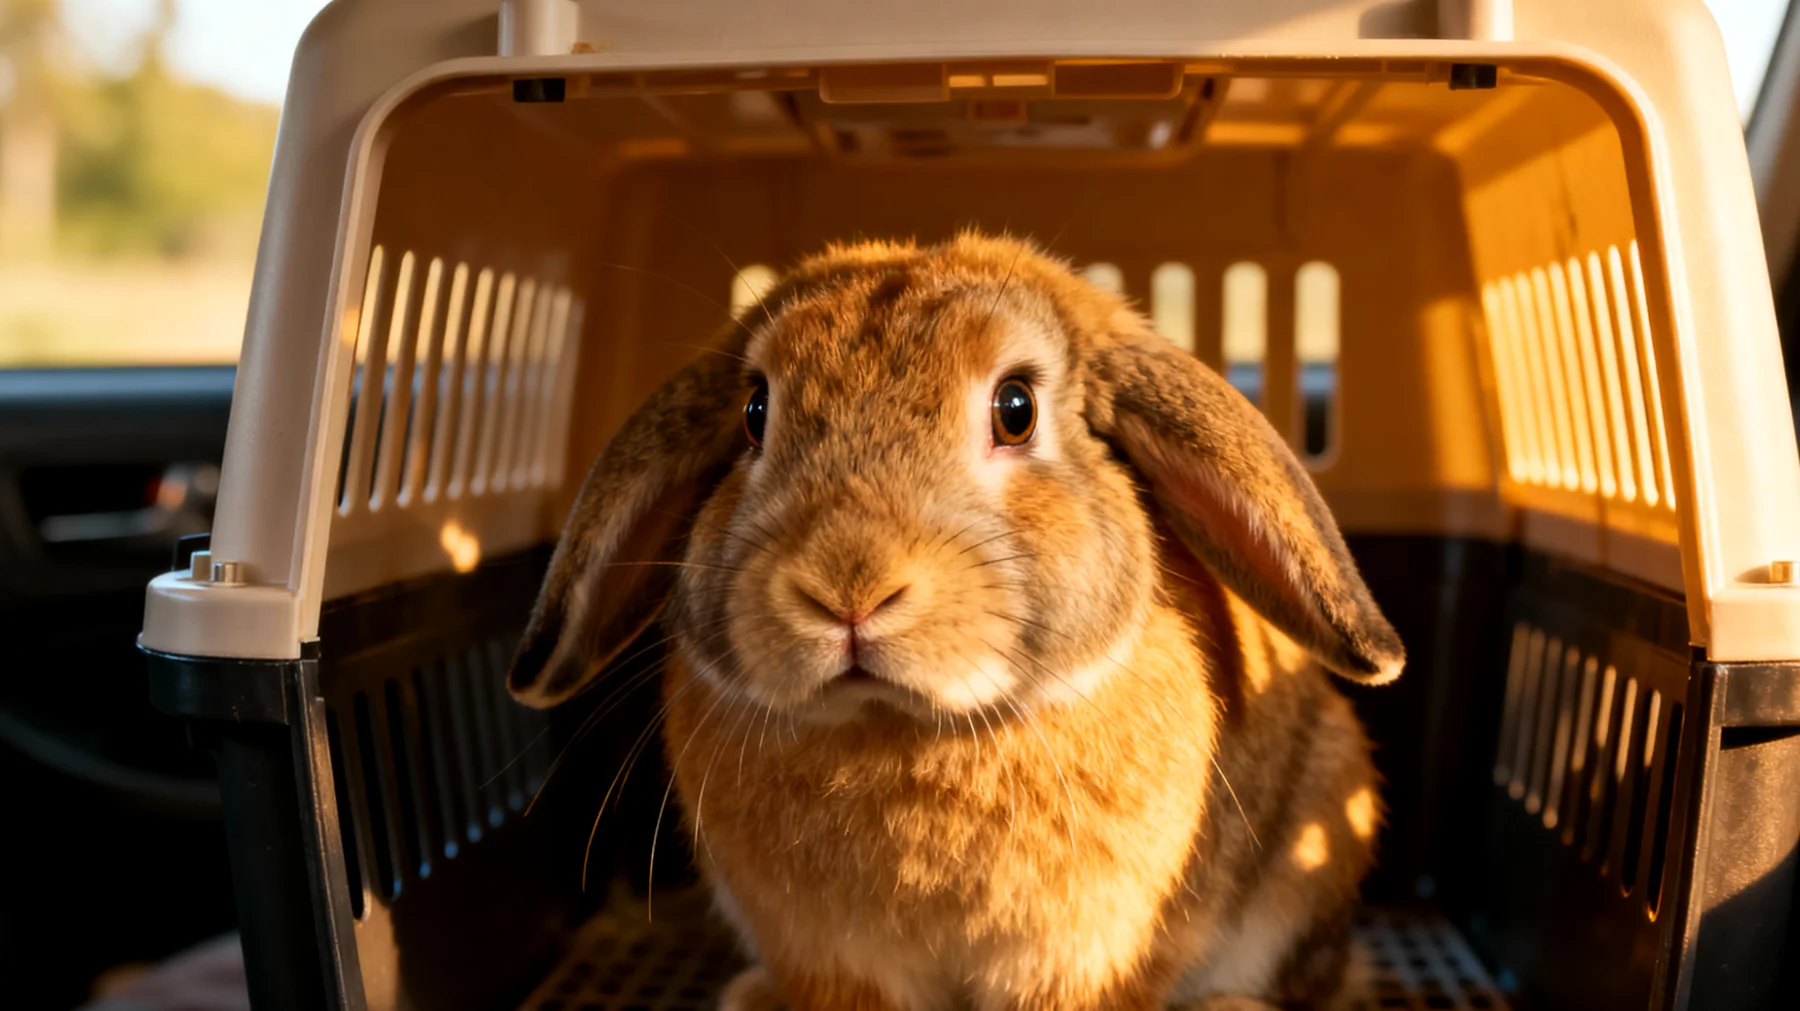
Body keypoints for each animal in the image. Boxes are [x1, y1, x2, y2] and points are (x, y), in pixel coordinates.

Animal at [506, 233, 1404, 1011]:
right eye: (756, 411)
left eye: (1016, 408)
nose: (848, 585)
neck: (901, 727)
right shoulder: (830, 958)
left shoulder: (1081, 956)